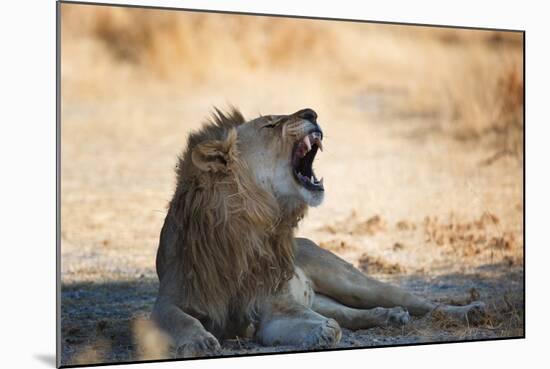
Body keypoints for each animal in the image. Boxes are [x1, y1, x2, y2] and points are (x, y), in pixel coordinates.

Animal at [152, 107, 488, 356]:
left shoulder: (273, 305)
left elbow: (298, 319)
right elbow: (177, 319)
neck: (247, 228)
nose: (311, 112)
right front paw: (199, 340)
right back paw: (390, 316)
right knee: (350, 314)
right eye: (270, 124)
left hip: (353, 282)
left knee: (422, 303)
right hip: (324, 297)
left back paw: (470, 311)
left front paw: (322, 329)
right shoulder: (169, 299)